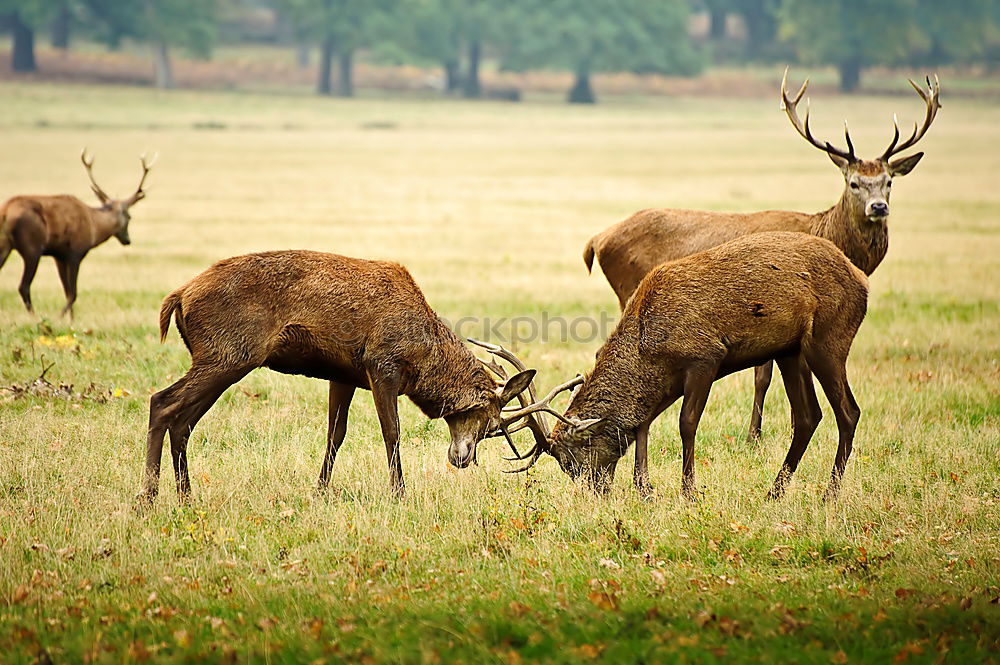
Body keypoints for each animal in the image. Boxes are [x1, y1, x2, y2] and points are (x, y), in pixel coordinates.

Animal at [0, 152, 153, 318]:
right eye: (130, 217)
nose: (127, 240)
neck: (94, 227)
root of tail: (5, 212)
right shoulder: (75, 252)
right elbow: (73, 293)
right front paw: (60, 317)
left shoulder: (59, 255)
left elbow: (67, 291)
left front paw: (70, 319)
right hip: (32, 247)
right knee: (24, 286)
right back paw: (34, 317)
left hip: (5, 246)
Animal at [139, 249, 540, 504]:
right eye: (491, 424)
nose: (463, 459)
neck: (422, 359)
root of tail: (179, 297)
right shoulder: (382, 365)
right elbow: (391, 433)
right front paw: (399, 495)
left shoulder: (344, 374)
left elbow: (336, 434)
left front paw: (319, 491)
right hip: (228, 354)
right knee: (162, 402)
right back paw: (148, 499)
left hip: (223, 359)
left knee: (184, 422)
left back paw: (186, 497)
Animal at [498, 232, 868, 498]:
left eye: (571, 460)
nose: (596, 491)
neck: (648, 347)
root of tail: (862, 279)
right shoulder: (667, 379)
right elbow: (643, 422)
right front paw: (644, 488)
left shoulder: (705, 357)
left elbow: (686, 423)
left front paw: (688, 491)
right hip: (789, 351)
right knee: (808, 415)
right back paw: (774, 492)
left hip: (828, 339)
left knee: (848, 411)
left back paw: (830, 493)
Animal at [584, 71, 940, 440]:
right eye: (853, 182)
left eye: (888, 182)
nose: (878, 207)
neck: (826, 231)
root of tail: (597, 240)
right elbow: (763, 376)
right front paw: (755, 433)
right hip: (628, 291)